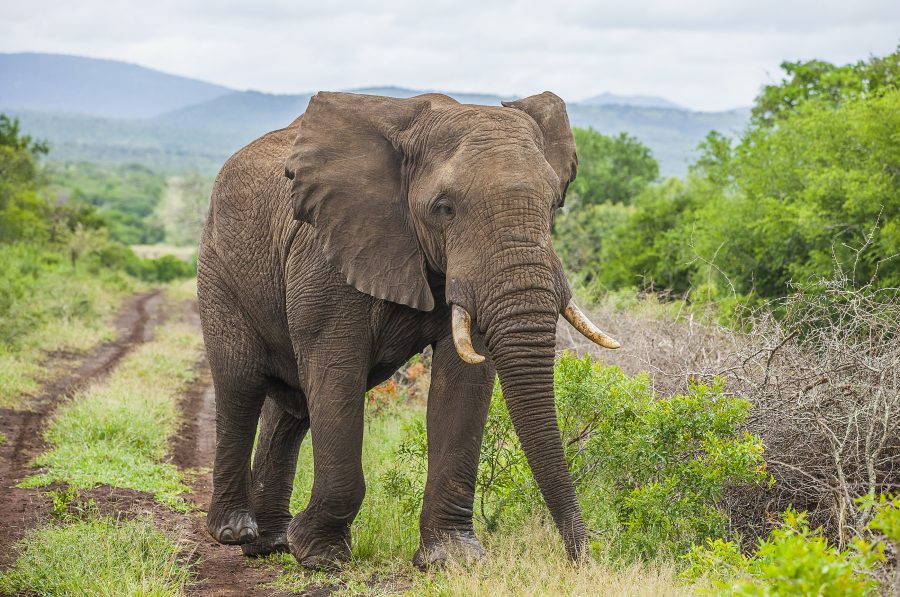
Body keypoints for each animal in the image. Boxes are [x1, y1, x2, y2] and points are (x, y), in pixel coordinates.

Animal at [196, 89, 620, 568]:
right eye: (444, 209)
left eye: (553, 206)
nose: (583, 558)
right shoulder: (327, 249)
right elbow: (336, 370)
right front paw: (320, 556)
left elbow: (464, 381)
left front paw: (453, 559)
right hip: (218, 269)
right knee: (241, 385)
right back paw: (234, 532)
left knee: (291, 408)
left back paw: (271, 544)